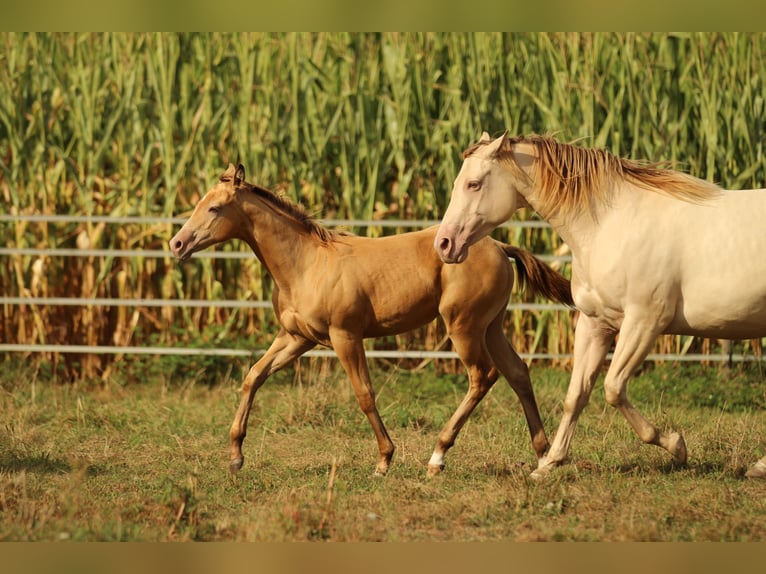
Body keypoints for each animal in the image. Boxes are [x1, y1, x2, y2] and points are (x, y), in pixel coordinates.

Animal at [169, 163, 573, 477]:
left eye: (215, 208)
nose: (177, 244)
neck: (306, 264)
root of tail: (500, 247)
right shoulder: (296, 337)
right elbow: (253, 376)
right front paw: (236, 457)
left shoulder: (345, 336)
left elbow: (364, 394)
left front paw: (384, 460)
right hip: (491, 326)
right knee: (518, 372)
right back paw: (542, 454)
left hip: (464, 327)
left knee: (483, 376)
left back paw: (438, 457)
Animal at [435, 132, 766, 479]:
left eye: (473, 184)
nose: (444, 244)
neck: (613, 224)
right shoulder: (595, 323)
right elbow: (576, 395)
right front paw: (549, 464)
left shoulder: (644, 322)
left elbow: (613, 388)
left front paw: (677, 446)